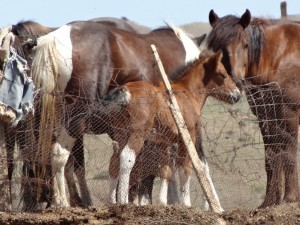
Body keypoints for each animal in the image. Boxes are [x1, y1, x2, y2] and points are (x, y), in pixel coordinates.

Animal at [104, 50, 240, 206]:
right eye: (223, 74)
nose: (237, 95)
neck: (187, 92)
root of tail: (125, 91)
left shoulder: (167, 142)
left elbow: (169, 169)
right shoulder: (188, 138)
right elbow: (186, 169)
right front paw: (186, 204)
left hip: (121, 134)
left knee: (114, 161)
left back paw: (111, 201)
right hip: (137, 134)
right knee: (127, 158)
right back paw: (123, 200)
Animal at [204, 9, 300, 208]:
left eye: (245, 44)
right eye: (218, 48)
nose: (236, 81)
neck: (279, 57)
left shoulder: (289, 112)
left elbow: (288, 152)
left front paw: (290, 198)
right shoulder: (266, 114)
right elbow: (272, 155)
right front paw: (270, 201)